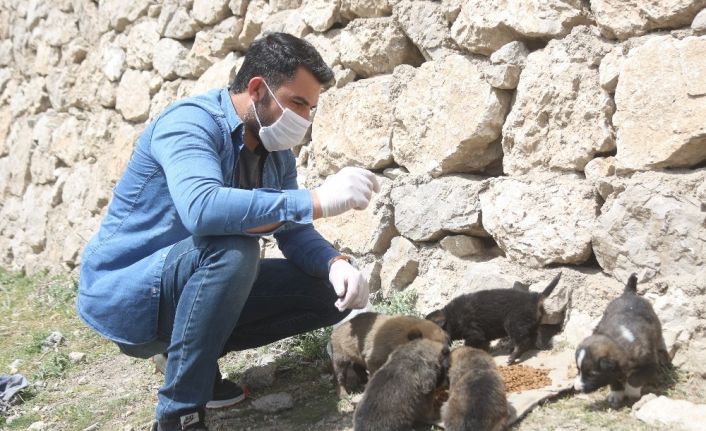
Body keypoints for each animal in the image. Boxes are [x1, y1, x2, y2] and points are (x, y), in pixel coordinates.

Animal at [424, 274, 560, 364]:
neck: (452, 318)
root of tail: (535, 297)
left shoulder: (474, 334)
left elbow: (469, 345)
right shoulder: (481, 337)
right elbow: (484, 346)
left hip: (513, 323)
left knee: (522, 342)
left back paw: (512, 357)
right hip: (529, 324)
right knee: (532, 338)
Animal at [568, 276, 668, 406]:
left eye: (592, 374)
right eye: (578, 370)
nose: (577, 388)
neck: (619, 343)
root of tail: (629, 293)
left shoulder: (650, 364)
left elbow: (635, 379)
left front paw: (631, 392)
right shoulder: (612, 371)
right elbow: (614, 380)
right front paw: (616, 394)